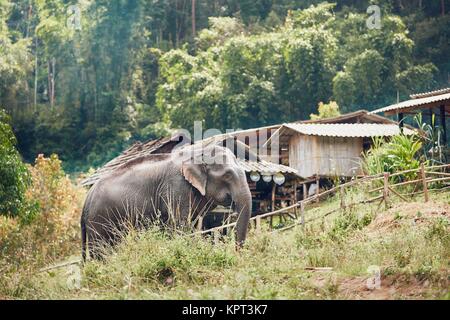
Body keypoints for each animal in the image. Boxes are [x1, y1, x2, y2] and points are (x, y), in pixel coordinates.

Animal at [81, 144, 253, 260]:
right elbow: (180, 226)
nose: (237, 255)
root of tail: (87, 198)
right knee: (100, 249)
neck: (198, 153)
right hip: (99, 220)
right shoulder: (176, 188)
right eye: (228, 175)